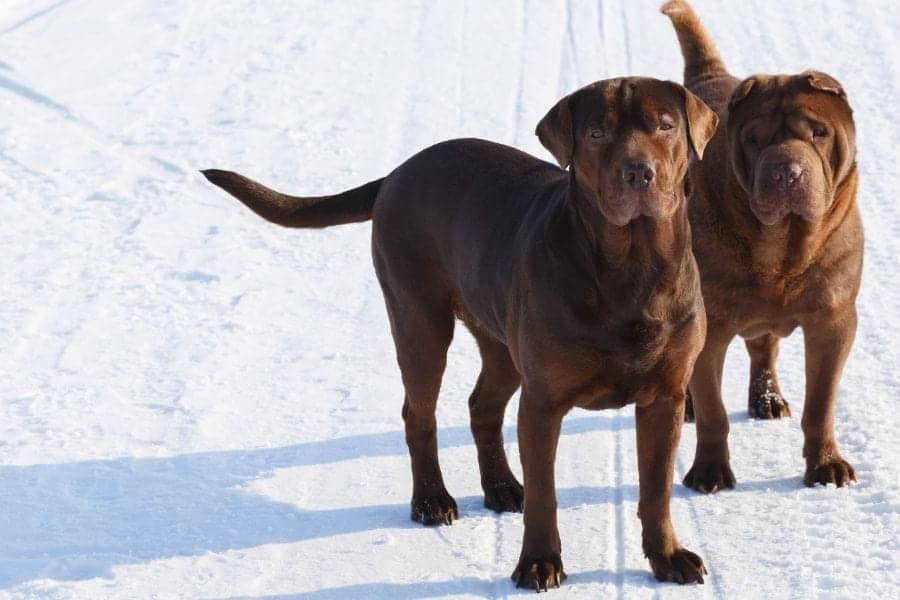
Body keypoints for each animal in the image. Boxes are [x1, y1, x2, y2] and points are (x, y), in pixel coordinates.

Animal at [202, 76, 716, 592]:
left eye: (666, 126)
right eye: (596, 133)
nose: (638, 173)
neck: (631, 266)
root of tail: (396, 173)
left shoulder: (666, 398)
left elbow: (655, 489)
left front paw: (667, 557)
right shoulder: (543, 402)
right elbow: (545, 496)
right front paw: (538, 562)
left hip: (500, 342)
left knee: (481, 406)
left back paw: (501, 486)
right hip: (419, 320)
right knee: (418, 413)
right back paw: (431, 499)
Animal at [660, 1, 864, 492]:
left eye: (819, 133)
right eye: (754, 139)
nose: (786, 171)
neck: (782, 247)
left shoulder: (833, 321)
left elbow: (821, 404)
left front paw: (825, 466)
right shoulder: (711, 327)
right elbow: (713, 409)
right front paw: (710, 471)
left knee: (764, 346)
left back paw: (767, 399)